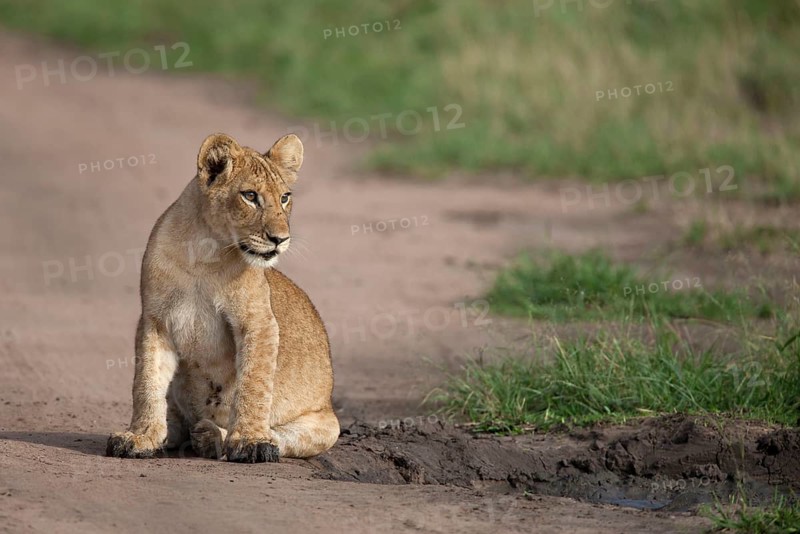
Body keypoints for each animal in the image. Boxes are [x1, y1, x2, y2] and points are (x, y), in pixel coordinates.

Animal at [106, 132, 339, 463]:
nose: (280, 239)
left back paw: (211, 436)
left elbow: (253, 383)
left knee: (281, 435)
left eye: (285, 197)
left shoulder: (258, 321)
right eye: (250, 196)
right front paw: (141, 437)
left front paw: (251, 441)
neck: (206, 253)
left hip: (326, 425)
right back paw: (174, 434)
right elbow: (147, 382)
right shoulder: (154, 320)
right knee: (176, 422)